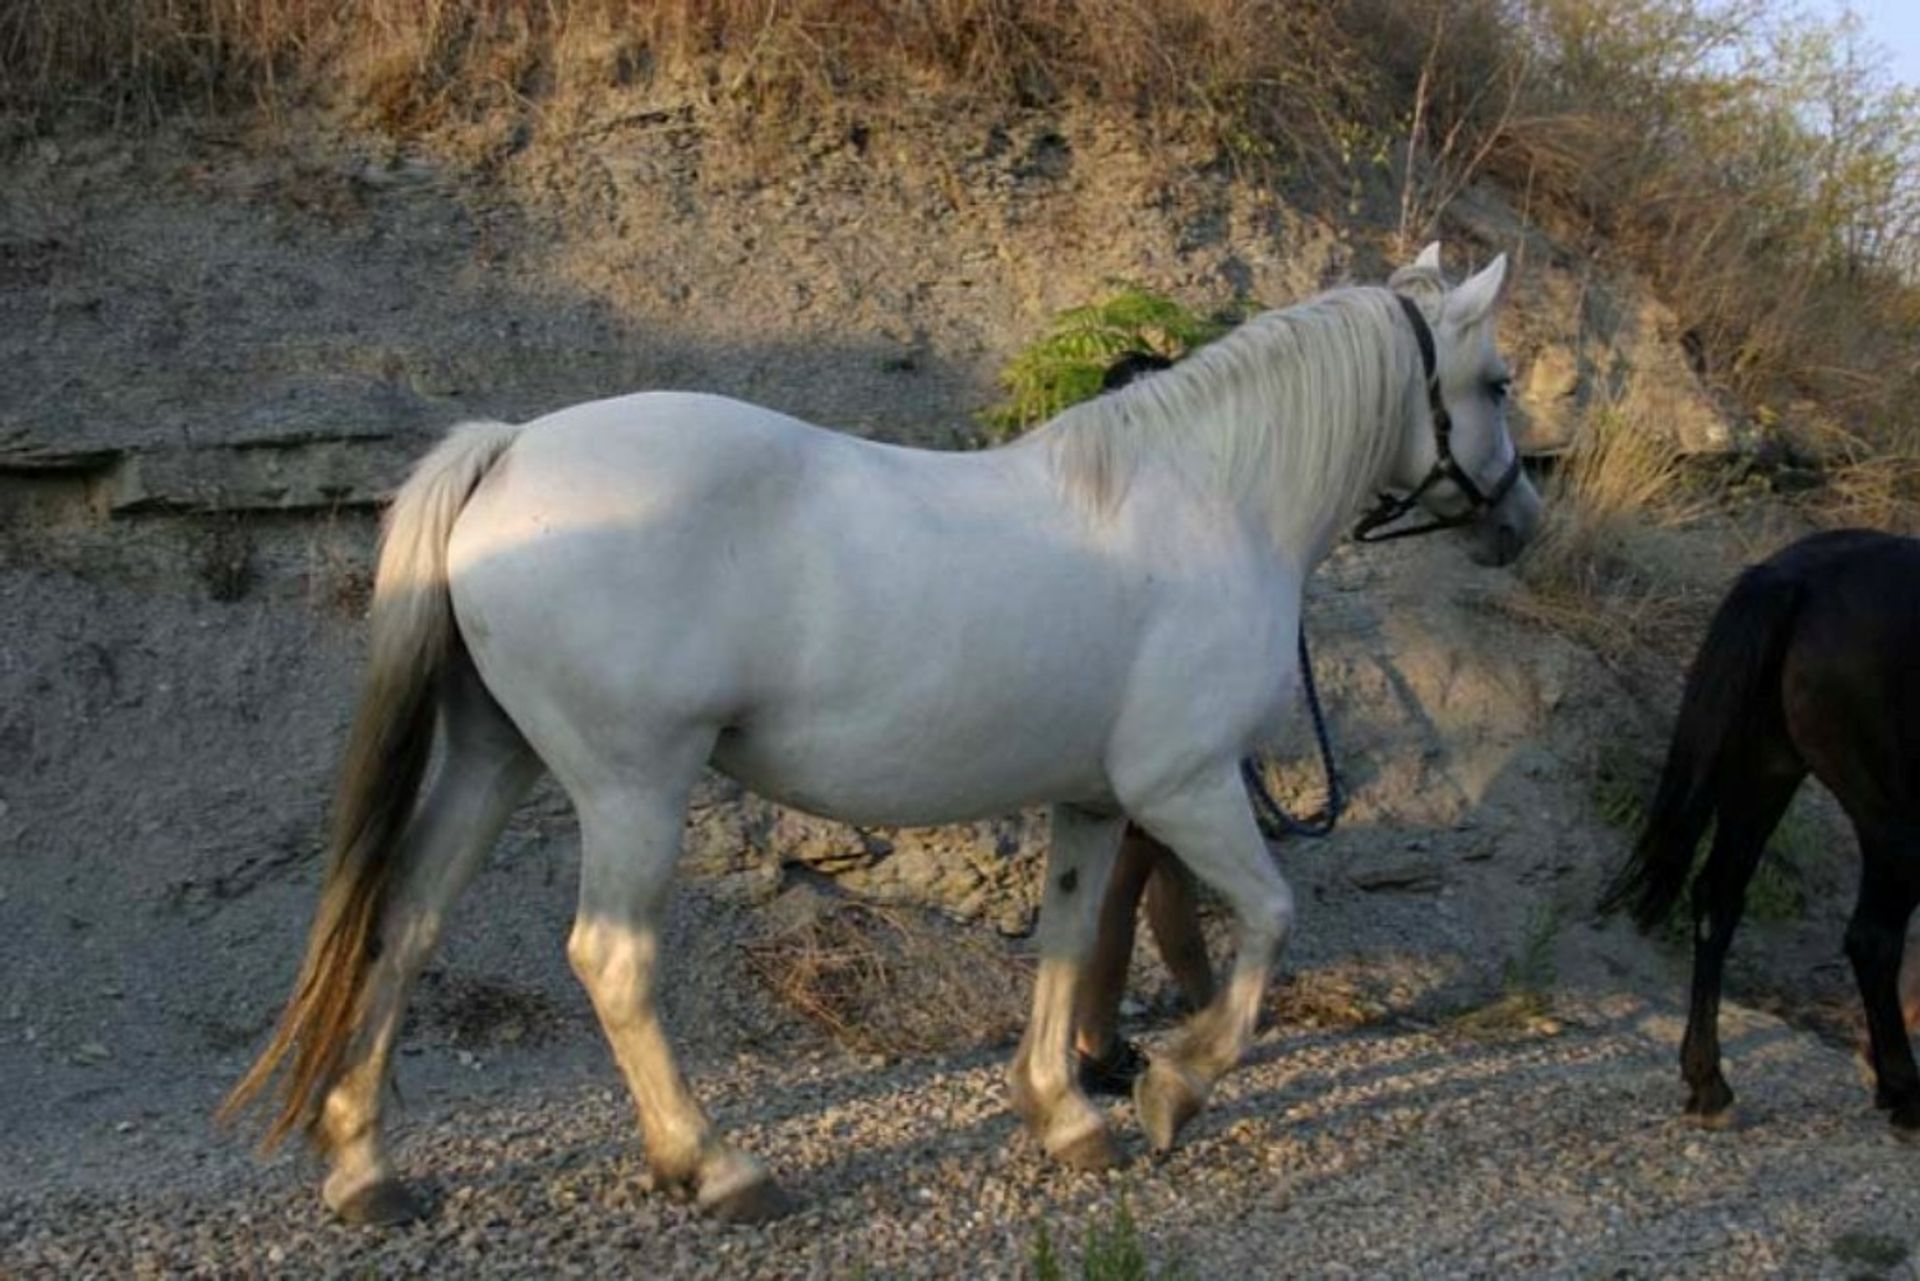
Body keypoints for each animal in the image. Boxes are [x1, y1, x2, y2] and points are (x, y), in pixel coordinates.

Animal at [228, 242, 1543, 1229]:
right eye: (1499, 383)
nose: (1522, 521)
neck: (1208, 500)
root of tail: (510, 450)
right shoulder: (1186, 789)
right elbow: (1269, 917)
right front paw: (1177, 1089)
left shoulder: (1093, 801)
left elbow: (1068, 945)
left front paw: (1065, 1115)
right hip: (632, 786)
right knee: (612, 960)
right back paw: (716, 1165)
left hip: (494, 757)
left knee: (405, 924)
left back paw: (367, 1168)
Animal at [1605, 530, 1920, 1129]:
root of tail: (1796, 578)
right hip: (1886, 816)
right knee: (1873, 940)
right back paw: (1904, 1095)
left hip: (1765, 767)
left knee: (1717, 898)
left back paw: (1707, 1083)